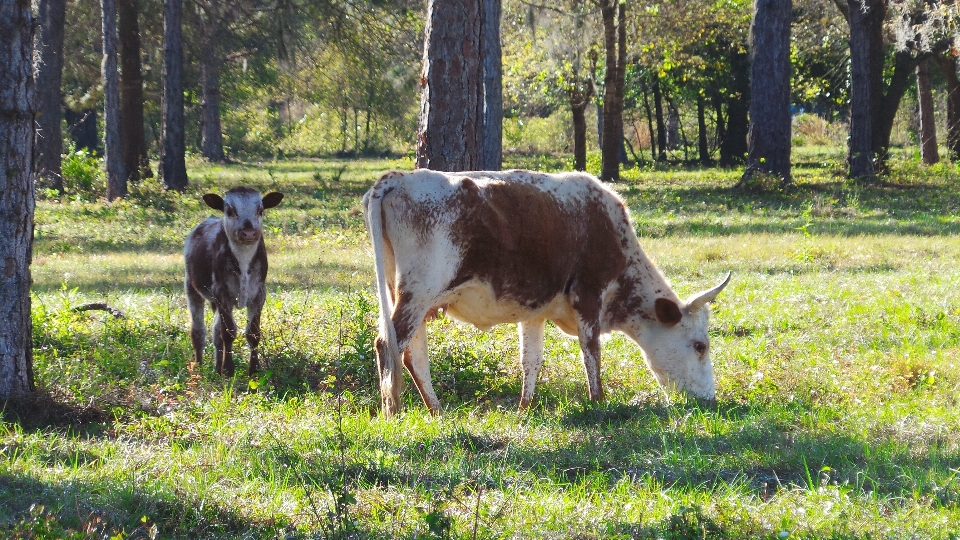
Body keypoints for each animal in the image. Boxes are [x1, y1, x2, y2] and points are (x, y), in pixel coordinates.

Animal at [183, 188, 282, 378]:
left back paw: (216, 367)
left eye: (260, 210)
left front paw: (253, 370)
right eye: (229, 211)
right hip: (191, 286)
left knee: (215, 333)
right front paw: (228, 369)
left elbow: (253, 333)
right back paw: (199, 366)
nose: (249, 233)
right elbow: (228, 332)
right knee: (198, 331)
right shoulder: (222, 293)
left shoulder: (259, 293)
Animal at [364, 171, 732, 416]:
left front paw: (524, 408)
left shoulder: (535, 311)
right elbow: (591, 351)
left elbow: (531, 360)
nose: (709, 399)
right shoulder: (589, 294)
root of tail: (398, 178)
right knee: (389, 344)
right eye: (700, 346)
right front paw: (598, 403)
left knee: (412, 354)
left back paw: (436, 410)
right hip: (419, 293)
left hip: (408, 296)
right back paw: (392, 411)